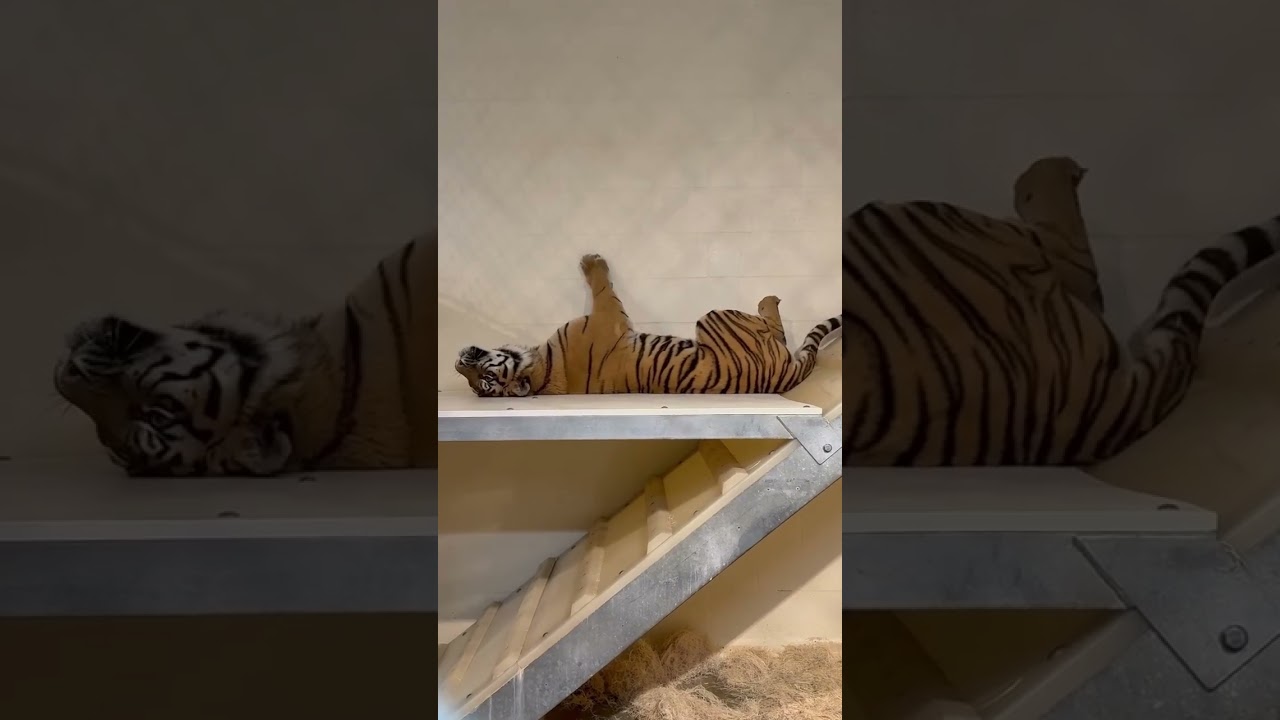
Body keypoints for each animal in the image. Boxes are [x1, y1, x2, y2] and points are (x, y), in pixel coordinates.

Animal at [454, 253, 841, 397]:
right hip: (714, 316)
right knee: (772, 329)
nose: (458, 362)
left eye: (482, 379)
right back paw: (770, 299)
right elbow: (602, 285)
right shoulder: (606, 316)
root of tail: (784, 378)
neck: (540, 371)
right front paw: (592, 261)